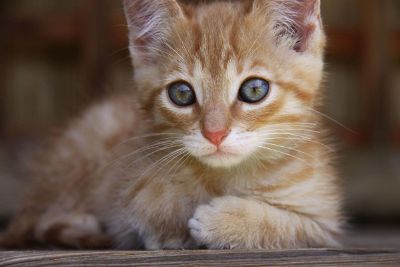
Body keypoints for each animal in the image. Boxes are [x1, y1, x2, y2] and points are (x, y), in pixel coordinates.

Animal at [1, 0, 342, 251]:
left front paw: (225, 220)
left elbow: (289, 226)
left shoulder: (323, 224)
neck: (226, 175)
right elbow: (144, 200)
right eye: (181, 94)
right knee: (32, 218)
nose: (215, 133)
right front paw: (171, 224)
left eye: (254, 89)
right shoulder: (130, 177)